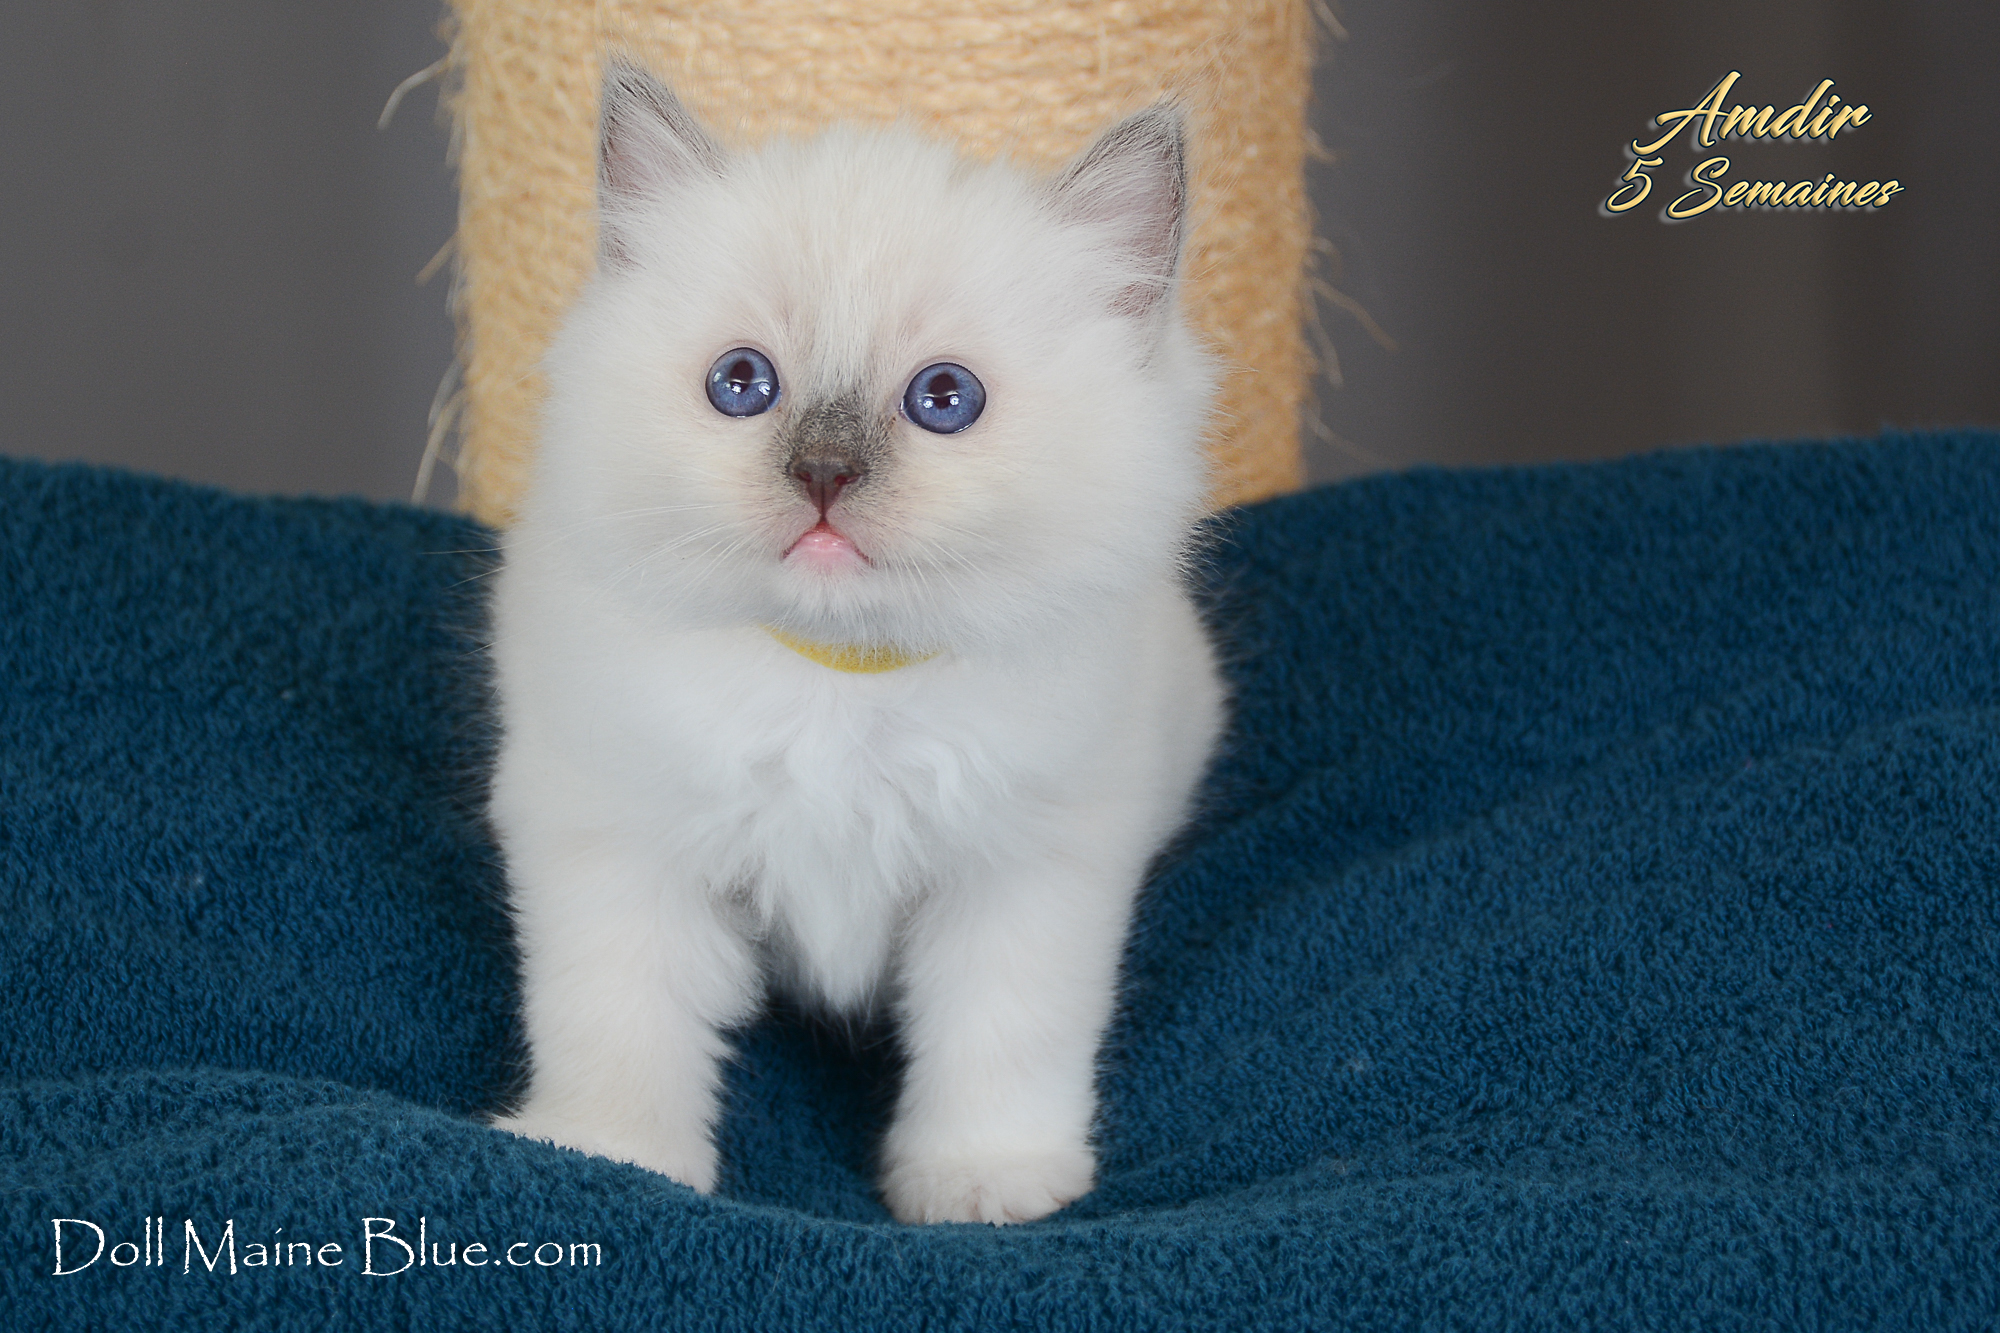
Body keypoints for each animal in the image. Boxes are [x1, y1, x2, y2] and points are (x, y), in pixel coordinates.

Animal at [487, 62, 1226, 1226]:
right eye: (741, 384)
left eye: (944, 400)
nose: (825, 473)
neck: (842, 678)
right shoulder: (619, 845)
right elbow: (618, 1021)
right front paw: (608, 1155)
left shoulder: (1025, 873)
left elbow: (1002, 1037)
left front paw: (984, 1180)